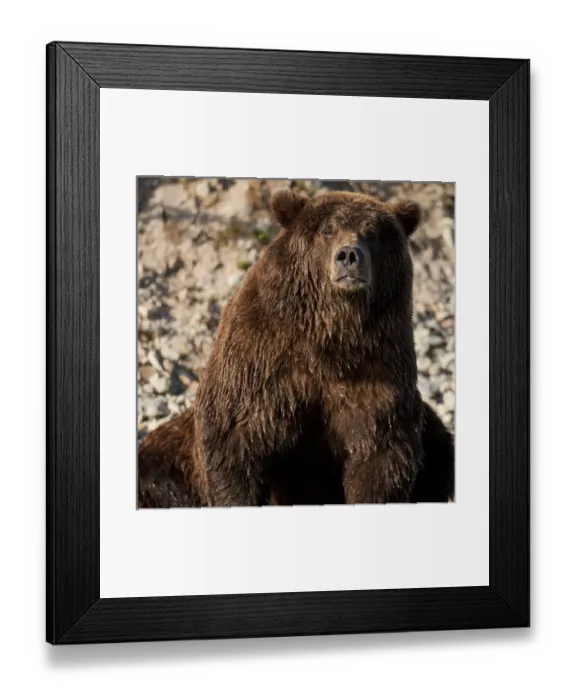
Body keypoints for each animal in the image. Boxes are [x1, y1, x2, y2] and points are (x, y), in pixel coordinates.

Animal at [138, 188, 455, 507]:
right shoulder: (260, 361)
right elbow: (234, 435)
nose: (349, 255)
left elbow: (380, 448)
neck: (331, 333)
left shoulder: (377, 363)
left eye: (371, 232)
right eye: (328, 230)